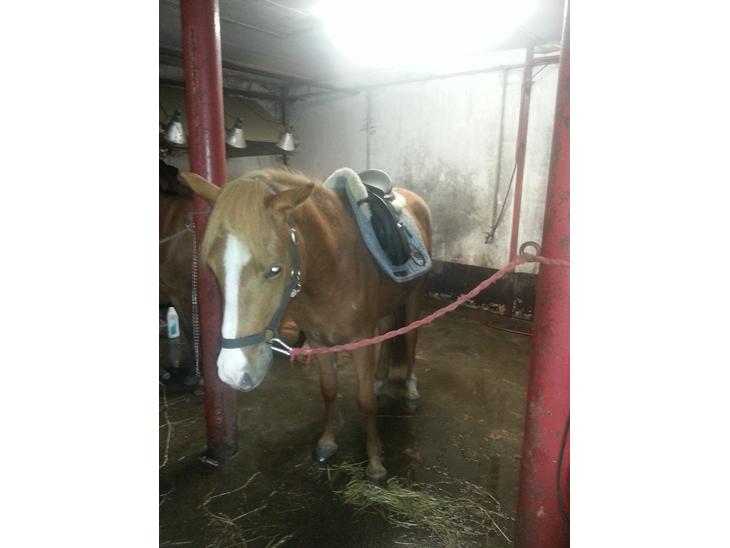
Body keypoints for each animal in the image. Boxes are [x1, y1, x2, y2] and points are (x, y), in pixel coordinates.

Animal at [178, 167, 432, 483]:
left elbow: (365, 402)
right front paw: (327, 443)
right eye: (213, 268)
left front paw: (374, 462)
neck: (333, 267)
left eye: (275, 269)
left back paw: (409, 387)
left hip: (414, 298)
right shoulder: (319, 341)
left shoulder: (361, 341)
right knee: (387, 334)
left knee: (410, 339)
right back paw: (380, 379)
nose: (233, 372)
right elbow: (329, 390)